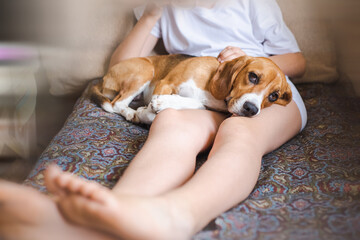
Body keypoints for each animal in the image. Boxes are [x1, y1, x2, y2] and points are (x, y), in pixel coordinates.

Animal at [90, 54, 292, 124]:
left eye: (274, 96)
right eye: (253, 76)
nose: (251, 109)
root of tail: (103, 77)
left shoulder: (204, 105)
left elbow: (195, 104)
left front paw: (159, 105)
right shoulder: (166, 83)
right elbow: (153, 110)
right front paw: (146, 111)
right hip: (145, 70)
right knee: (116, 104)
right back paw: (131, 112)